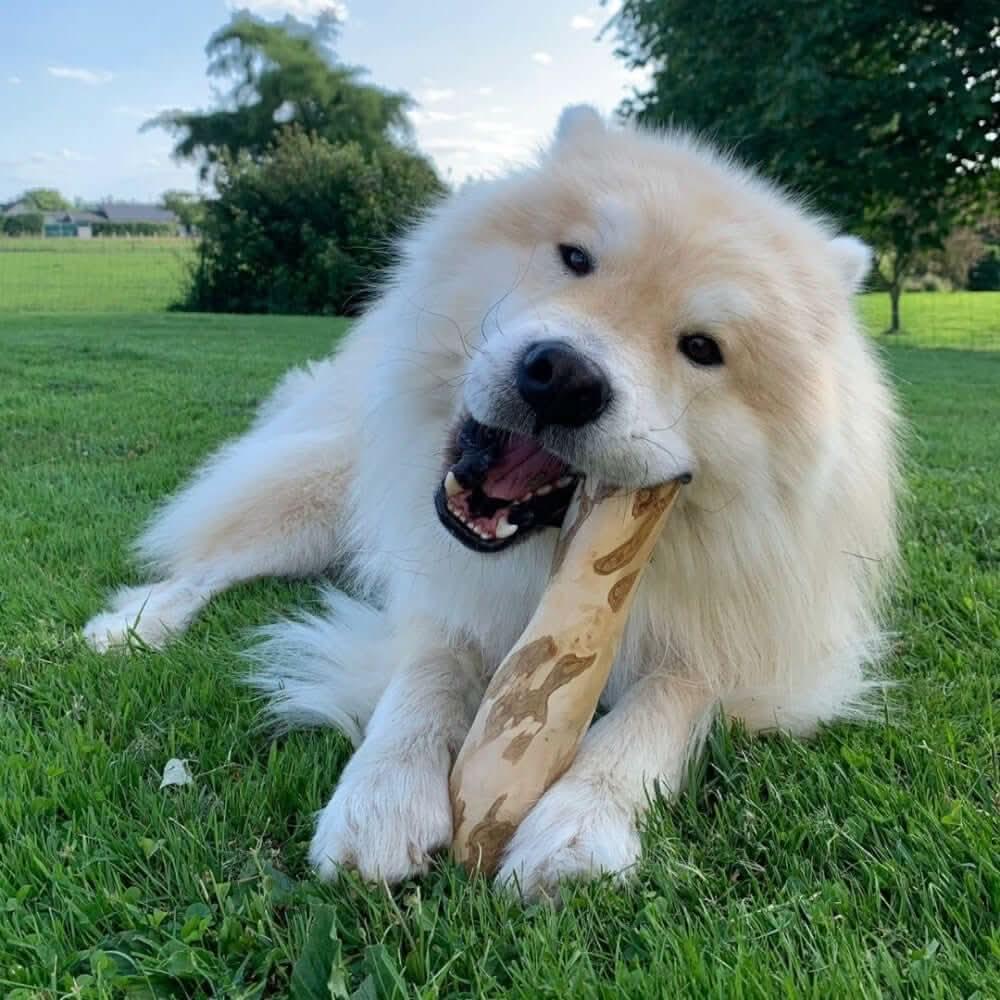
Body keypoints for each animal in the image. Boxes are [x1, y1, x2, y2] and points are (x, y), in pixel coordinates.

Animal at [88, 107, 900, 900]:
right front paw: (380, 798)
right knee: (209, 562)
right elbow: (423, 678)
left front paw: (578, 826)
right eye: (575, 258)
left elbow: (663, 705)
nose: (564, 377)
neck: (538, 561)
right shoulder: (439, 597)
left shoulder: (755, 651)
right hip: (313, 503)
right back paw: (134, 625)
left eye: (702, 348)